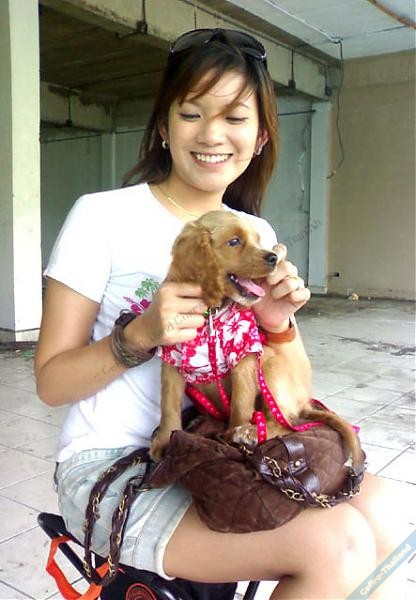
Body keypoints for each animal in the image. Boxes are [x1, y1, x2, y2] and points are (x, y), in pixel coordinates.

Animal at [150, 210, 363, 473]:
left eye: (257, 239)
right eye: (234, 241)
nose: (273, 257)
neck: (212, 313)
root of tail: (303, 402)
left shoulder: (246, 357)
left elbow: (241, 403)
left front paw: (232, 436)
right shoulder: (171, 359)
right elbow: (168, 405)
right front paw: (164, 440)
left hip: (270, 367)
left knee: (286, 423)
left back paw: (250, 432)